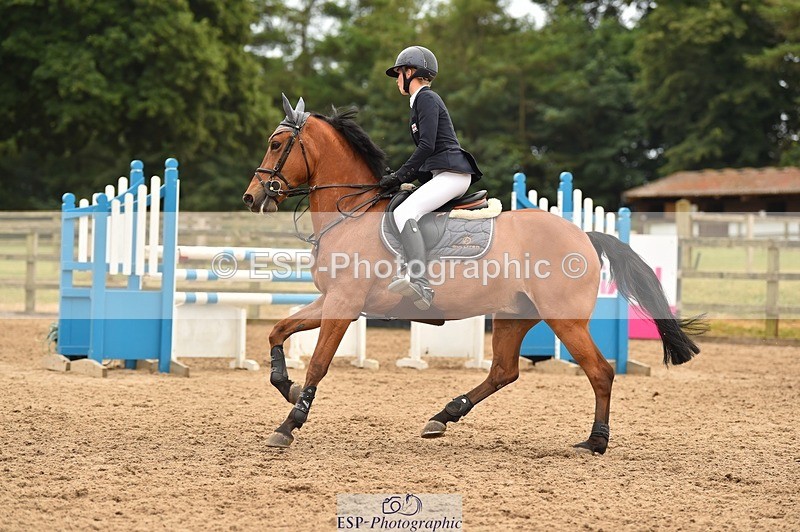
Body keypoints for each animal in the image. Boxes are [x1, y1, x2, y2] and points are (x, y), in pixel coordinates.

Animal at [242, 95, 704, 452]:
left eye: (276, 143)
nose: (252, 197)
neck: (351, 212)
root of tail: (585, 236)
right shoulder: (332, 300)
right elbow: (278, 330)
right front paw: (286, 386)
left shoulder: (343, 303)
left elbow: (319, 363)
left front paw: (289, 424)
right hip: (514, 315)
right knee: (504, 371)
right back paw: (443, 416)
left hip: (565, 321)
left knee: (600, 372)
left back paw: (595, 441)